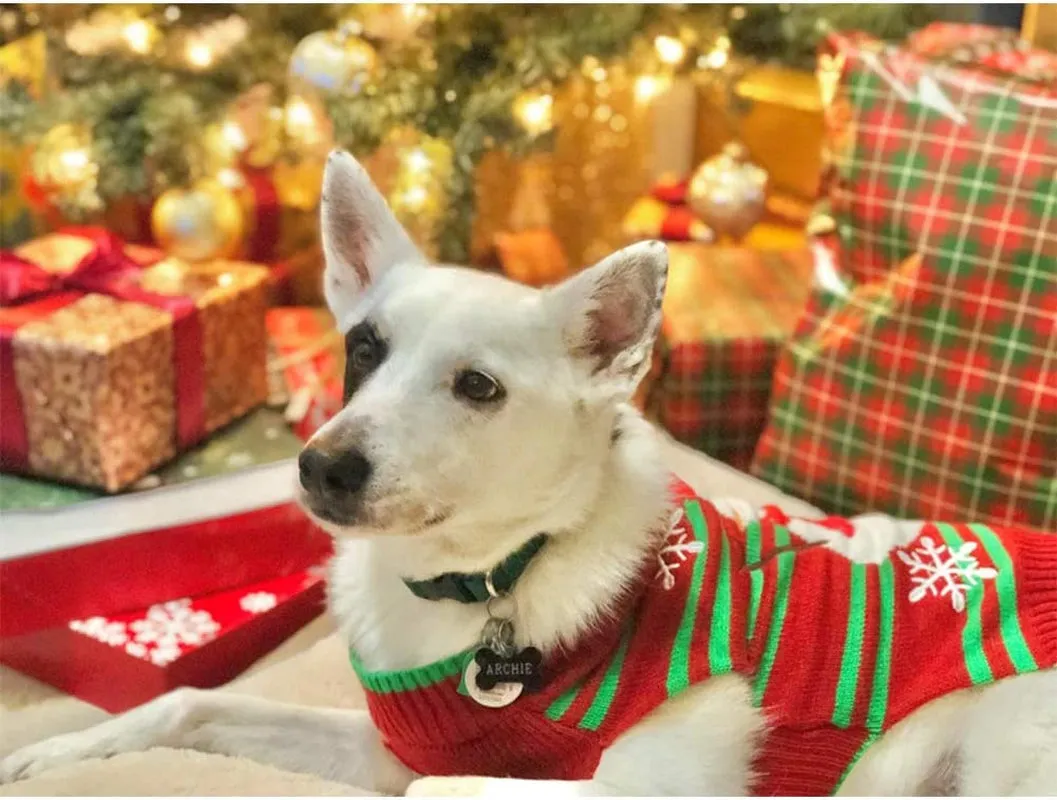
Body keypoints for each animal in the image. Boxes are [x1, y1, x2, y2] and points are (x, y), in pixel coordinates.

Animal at [4, 153, 1052, 794]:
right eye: (362, 349)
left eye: (477, 386)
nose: (321, 466)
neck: (482, 584)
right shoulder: (390, 747)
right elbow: (192, 701)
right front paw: (55, 752)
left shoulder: (631, 782)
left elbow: (452, 786)